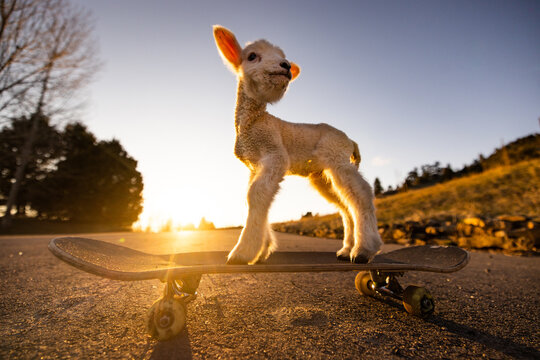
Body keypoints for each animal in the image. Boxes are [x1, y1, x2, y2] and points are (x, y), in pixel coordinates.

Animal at [213, 26, 382, 264]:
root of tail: (351, 140)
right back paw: (346, 249)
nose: (285, 65)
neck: (253, 121)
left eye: (282, 56)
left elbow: (255, 195)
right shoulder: (255, 165)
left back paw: (363, 250)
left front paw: (243, 253)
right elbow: (257, 197)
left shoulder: (274, 153)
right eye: (252, 56)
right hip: (321, 176)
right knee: (345, 204)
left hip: (337, 158)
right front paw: (263, 249)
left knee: (361, 194)